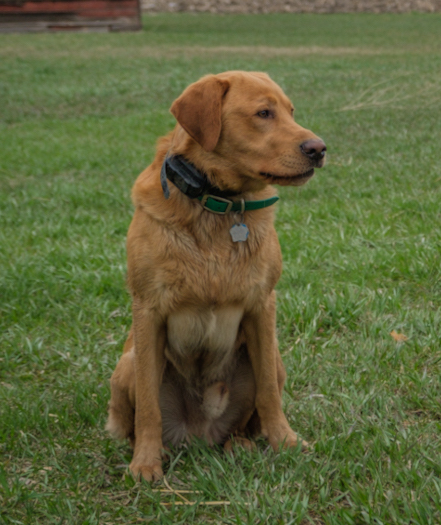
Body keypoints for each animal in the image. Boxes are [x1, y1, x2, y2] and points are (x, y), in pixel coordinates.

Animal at [107, 69, 324, 478]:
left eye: (290, 111)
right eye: (263, 113)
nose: (319, 149)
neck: (219, 205)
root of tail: (199, 434)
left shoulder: (262, 305)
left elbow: (268, 394)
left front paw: (285, 442)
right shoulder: (148, 311)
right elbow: (148, 405)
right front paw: (145, 462)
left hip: (275, 358)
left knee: (246, 418)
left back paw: (241, 444)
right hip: (127, 363)